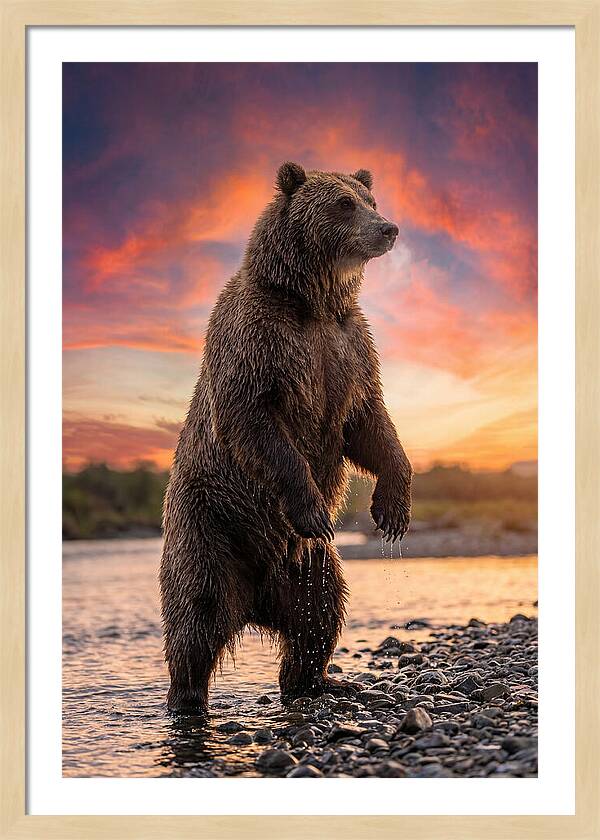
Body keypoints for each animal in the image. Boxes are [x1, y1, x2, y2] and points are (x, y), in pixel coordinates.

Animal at [160, 162, 413, 713]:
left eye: (370, 199)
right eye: (343, 203)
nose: (388, 228)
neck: (312, 302)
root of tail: (255, 600)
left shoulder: (348, 348)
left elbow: (369, 423)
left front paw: (393, 509)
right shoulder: (260, 341)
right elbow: (257, 421)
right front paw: (314, 507)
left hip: (308, 566)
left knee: (320, 612)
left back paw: (320, 680)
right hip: (210, 525)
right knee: (196, 614)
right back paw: (187, 699)